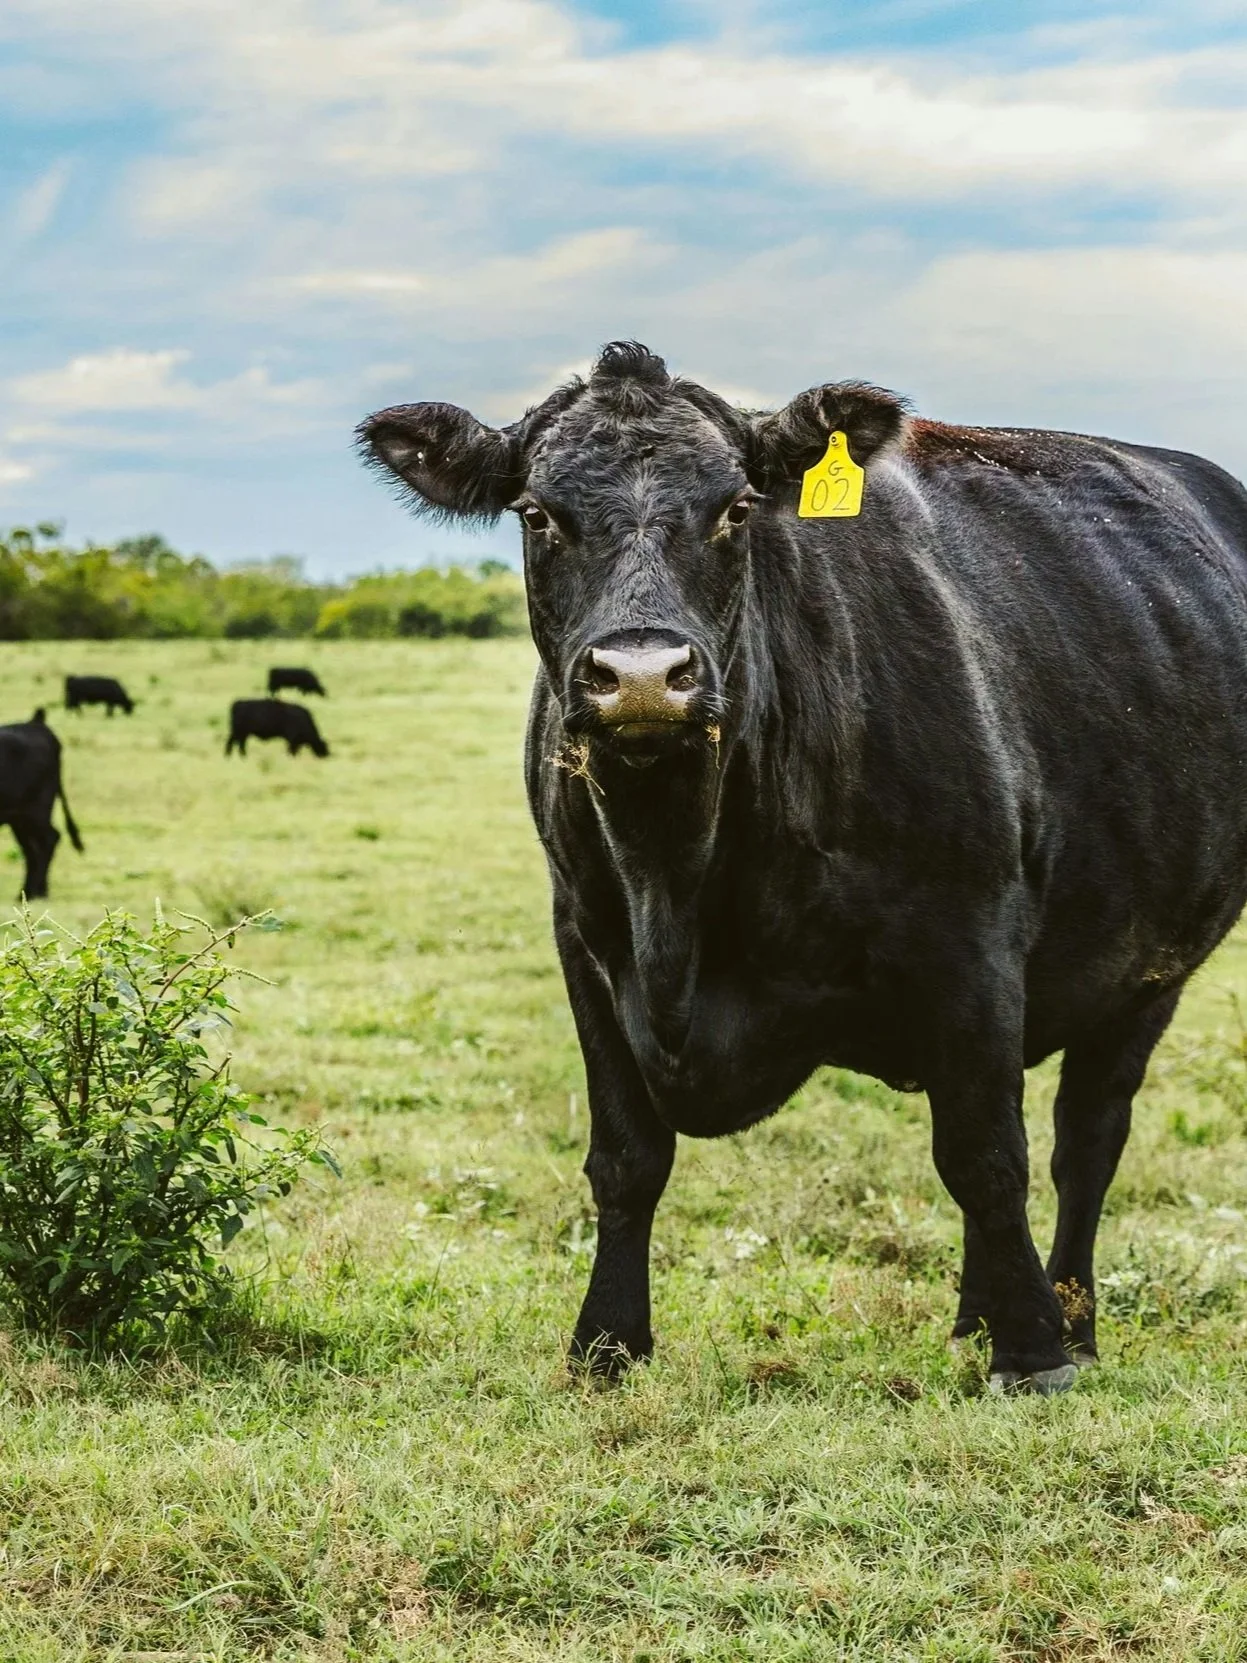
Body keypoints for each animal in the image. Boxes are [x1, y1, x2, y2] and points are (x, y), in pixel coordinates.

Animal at [0, 709, 84, 899]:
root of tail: (35, 724)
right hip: (19, 817)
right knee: (32, 849)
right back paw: (36, 891)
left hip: (37, 808)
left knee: (48, 839)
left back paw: (31, 893)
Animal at [358, 340, 1247, 1396]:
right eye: (537, 513)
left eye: (737, 507)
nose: (644, 677)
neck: (675, 871)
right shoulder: (583, 936)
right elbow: (625, 1156)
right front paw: (605, 1343)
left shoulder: (973, 942)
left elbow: (987, 1153)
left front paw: (1033, 1354)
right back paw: (975, 1316)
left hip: (1149, 966)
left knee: (1085, 1139)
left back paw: (1064, 1318)